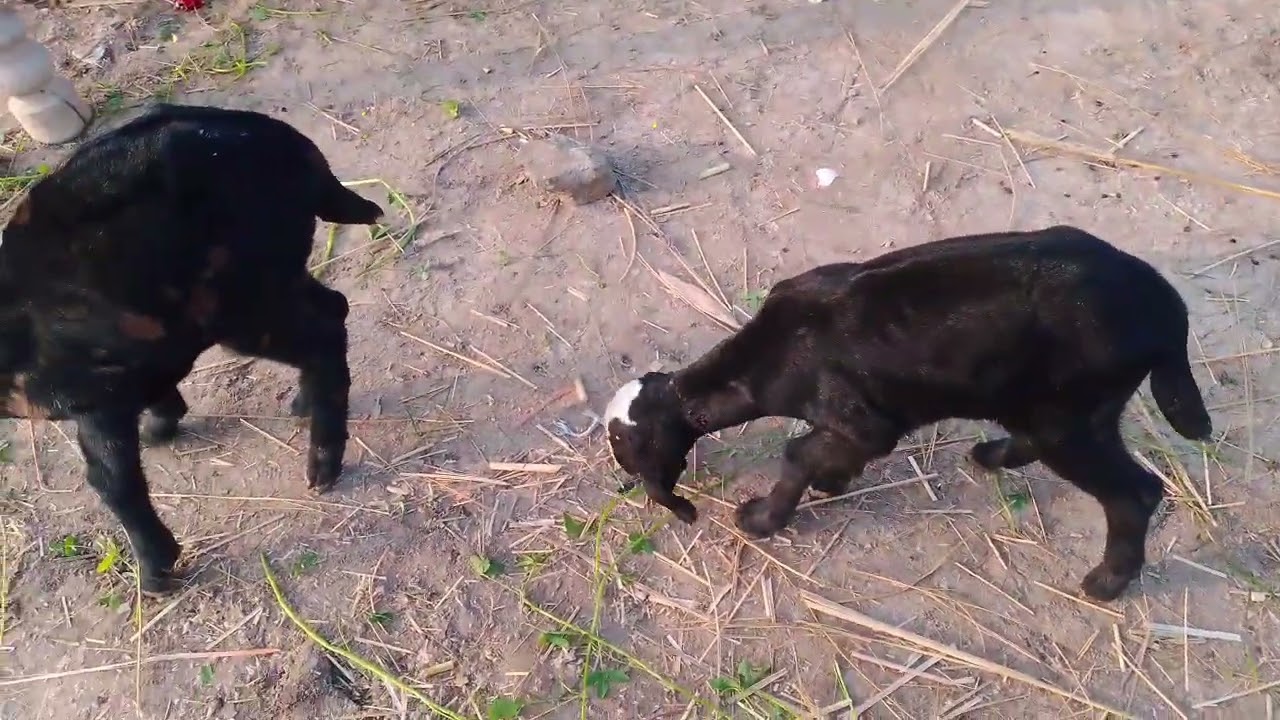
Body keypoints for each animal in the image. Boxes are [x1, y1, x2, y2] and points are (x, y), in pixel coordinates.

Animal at [0, 103, 383, 594]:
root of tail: (296, 147)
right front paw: (160, 430)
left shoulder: (94, 396)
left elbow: (111, 482)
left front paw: (155, 576)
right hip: (271, 282)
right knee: (333, 306)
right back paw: (302, 404)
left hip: (242, 307)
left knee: (324, 333)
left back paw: (322, 469)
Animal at [603, 225, 1212, 602]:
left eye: (627, 454)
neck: (766, 357)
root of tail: (1167, 307)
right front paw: (833, 477)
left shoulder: (865, 420)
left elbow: (797, 452)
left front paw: (763, 518)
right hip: (1057, 406)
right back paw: (994, 454)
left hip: (1071, 414)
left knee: (1135, 492)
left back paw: (1107, 582)